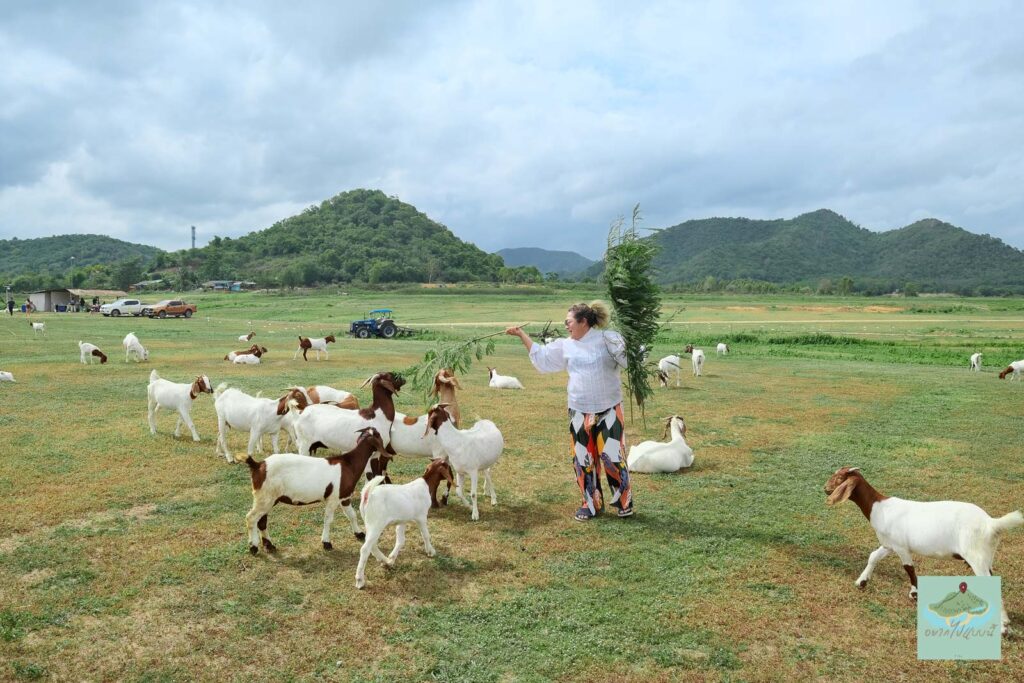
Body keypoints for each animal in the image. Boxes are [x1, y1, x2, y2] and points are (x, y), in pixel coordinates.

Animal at [239, 428, 387, 557]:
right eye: (379, 435)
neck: (349, 464)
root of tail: (258, 465)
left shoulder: (344, 496)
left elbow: (352, 515)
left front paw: (360, 534)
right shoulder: (333, 498)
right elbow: (328, 520)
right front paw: (326, 543)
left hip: (268, 498)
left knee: (261, 521)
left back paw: (269, 545)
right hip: (265, 497)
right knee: (251, 518)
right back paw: (253, 547)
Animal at [354, 458, 450, 589]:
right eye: (448, 466)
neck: (426, 484)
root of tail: (367, 494)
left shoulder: (402, 521)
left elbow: (400, 540)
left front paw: (392, 558)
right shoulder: (421, 517)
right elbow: (426, 535)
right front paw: (431, 551)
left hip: (369, 523)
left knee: (372, 545)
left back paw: (385, 560)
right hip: (376, 524)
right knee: (365, 549)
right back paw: (360, 580)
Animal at [823, 464, 1024, 634]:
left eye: (839, 478)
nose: (825, 489)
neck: (879, 508)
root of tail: (991, 523)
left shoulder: (901, 546)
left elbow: (909, 568)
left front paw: (914, 593)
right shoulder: (889, 545)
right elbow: (873, 556)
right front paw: (862, 581)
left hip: (976, 556)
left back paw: (1003, 628)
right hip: (986, 555)